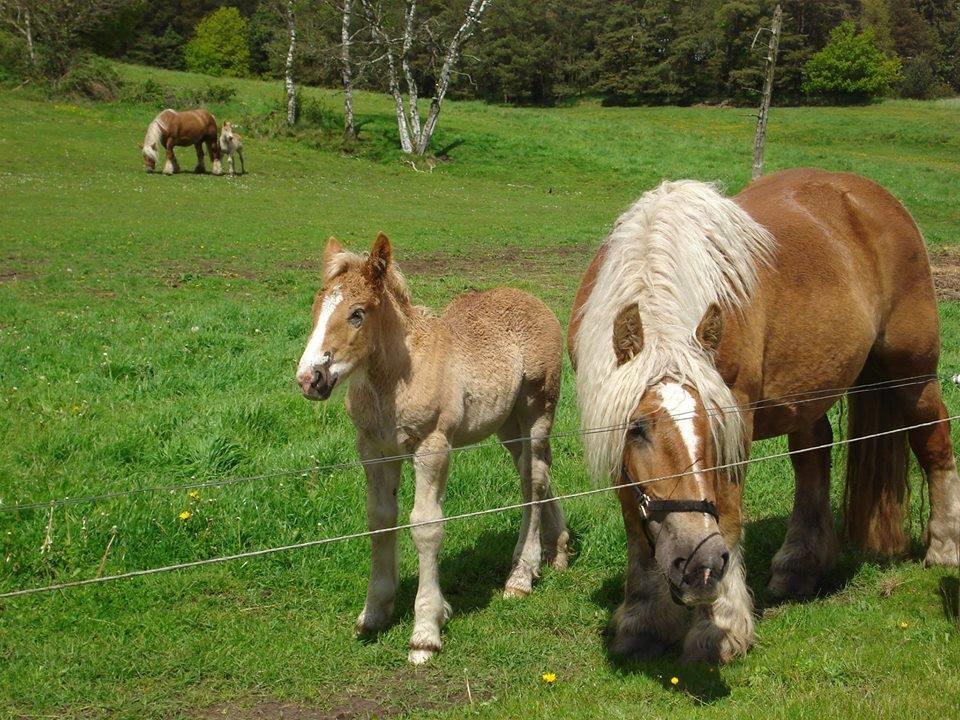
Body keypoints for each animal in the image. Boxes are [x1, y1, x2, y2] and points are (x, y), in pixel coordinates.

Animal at [296, 235, 568, 664]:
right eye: (316, 307)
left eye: (357, 314)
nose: (310, 378)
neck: (393, 380)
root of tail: (534, 300)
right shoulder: (374, 449)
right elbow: (380, 519)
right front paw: (374, 612)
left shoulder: (432, 447)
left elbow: (425, 526)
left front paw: (425, 630)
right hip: (507, 426)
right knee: (532, 473)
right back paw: (556, 551)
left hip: (537, 409)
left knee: (535, 481)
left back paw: (521, 576)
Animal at [568, 169, 960, 664]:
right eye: (637, 430)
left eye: (715, 426)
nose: (700, 563)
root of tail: (874, 197)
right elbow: (637, 532)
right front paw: (643, 624)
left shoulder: (738, 417)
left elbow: (730, 514)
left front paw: (722, 628)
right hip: (811, 390)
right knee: (813, 459)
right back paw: (801, 565)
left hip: (913, 372)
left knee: (934, 442)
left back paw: (944, 547)